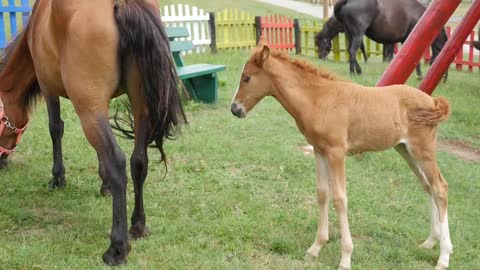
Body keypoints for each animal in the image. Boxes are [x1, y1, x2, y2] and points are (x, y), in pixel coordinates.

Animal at [0, 0, 186, 266]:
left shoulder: (49, 87)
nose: (2, 162)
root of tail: (121, 4)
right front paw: (104, 184)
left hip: (89, 107)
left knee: (117, 161)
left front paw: (58, 179)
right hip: (139, 104)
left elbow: (56, 128)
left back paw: (117, 247)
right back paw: (138, 226)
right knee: (139, 162)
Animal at [231, 42, 452, 270]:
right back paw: (430, 242)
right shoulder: (319, 150)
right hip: (405, 150)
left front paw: (345, 257)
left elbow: (339, 198)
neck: (318, 99)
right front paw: (315, 248)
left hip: (423, 150)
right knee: (428, 186)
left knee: (440, 188)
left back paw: (444, 257)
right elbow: (322, 194)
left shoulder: (336, 152)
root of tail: (432, 101)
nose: (235, 109)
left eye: (247, 77)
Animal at [316, 0, 448, 76]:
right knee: (353, 51)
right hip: (357, 34)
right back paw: (354, 72)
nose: (444, 78)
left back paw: (357, 71)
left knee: (351, 51)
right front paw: (419, 75)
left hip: (350, 34)